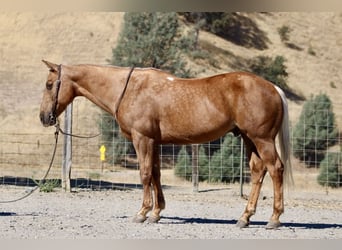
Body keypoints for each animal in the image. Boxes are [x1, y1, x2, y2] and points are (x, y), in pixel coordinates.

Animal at [39, 60, 292, 229]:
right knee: (258, 171)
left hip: (262, 139)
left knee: (275, 169)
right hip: (249, 139)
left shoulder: (142, 139)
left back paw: (274, 218)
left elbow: (144, 174)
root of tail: (273, 88)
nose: (44, 117)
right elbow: (155, 174)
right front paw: (157, 212)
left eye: (50, 84)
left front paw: (142, 213)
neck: (129, 88)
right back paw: (245, 217)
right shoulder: (155, 142)